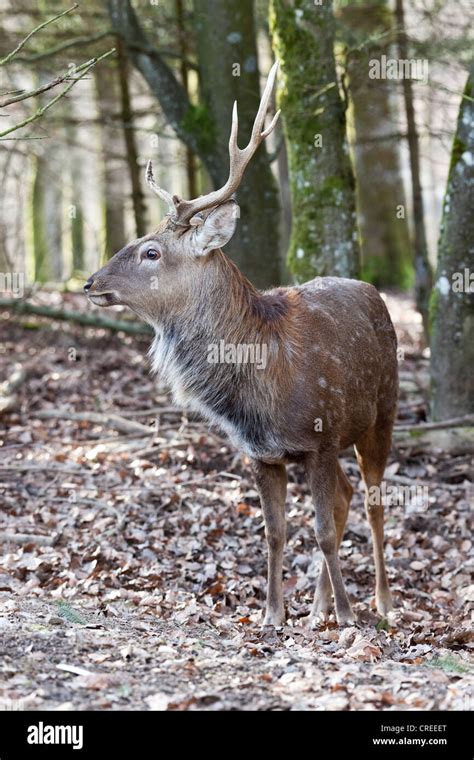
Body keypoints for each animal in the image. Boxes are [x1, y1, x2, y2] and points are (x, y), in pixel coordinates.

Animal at [84, 62, 396, 628]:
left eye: (151, 251)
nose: (90, 283)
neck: (262, 379)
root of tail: (372, 290)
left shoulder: (320, 436)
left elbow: (320, 529)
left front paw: (347, 617)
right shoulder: (261, 452)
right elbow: (275, 532)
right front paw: (275, 614)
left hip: (382, 411)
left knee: (372, 500)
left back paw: (380, 602)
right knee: (345, 497)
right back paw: (317, 605)